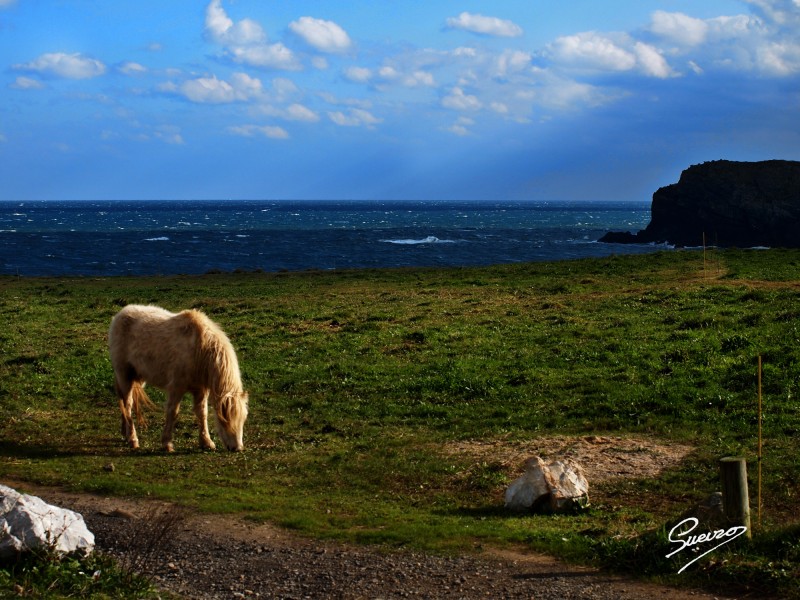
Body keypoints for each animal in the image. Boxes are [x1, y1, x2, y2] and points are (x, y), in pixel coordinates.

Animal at [108, 304, 248, 450]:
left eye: (243, 419)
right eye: (225, 419)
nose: (237, 448)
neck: (200, 349)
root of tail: (121, 313)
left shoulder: (201, 389)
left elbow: (202, 413)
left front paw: (206, 442)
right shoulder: (176, 387)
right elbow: (172, 412)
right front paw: (167, 443)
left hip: (138, 378)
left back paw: (125, 433)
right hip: (124, 375)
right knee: (127, 404)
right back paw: (132, 439)